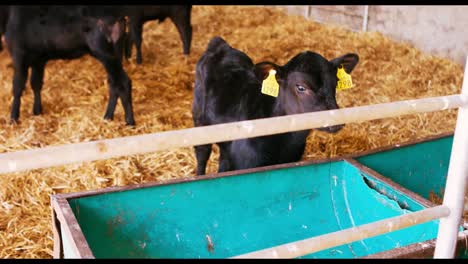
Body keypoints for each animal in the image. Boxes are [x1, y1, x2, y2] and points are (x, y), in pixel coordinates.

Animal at [3, 5, 135, 126]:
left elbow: (17, 87)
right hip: (114, 54)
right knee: (113, 84)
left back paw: (129, 122)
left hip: (105, 54)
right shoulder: (38, 59)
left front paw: (13, 118)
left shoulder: (18, 55)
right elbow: (36, 83)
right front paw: (37, 111)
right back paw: (107, 117)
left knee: (123, 82)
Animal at [192, 35, 360, 175]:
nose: (336, 121)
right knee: (202, 154)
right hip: (199, 122)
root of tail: (221, 46)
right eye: (301, 87)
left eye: (335, 84)